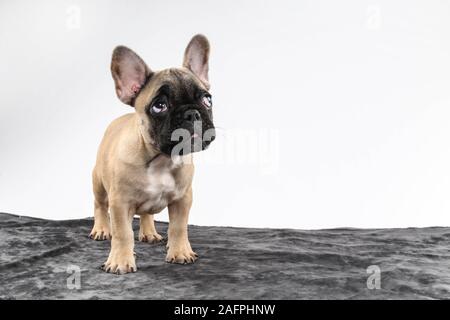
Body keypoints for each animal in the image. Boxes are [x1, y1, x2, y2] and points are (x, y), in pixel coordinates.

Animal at [90, 35, 216, 276]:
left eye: (207, 99)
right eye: (159, 106)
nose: (192, 113)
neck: (161, 160)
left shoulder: (182, 199)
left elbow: (178, 228)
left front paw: (180, 252)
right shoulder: (120, 203)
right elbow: (123, 233)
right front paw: (120, 261)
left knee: (147, 213)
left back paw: (149, 233)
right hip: (99, 183)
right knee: (99, 205)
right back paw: (101, 229)